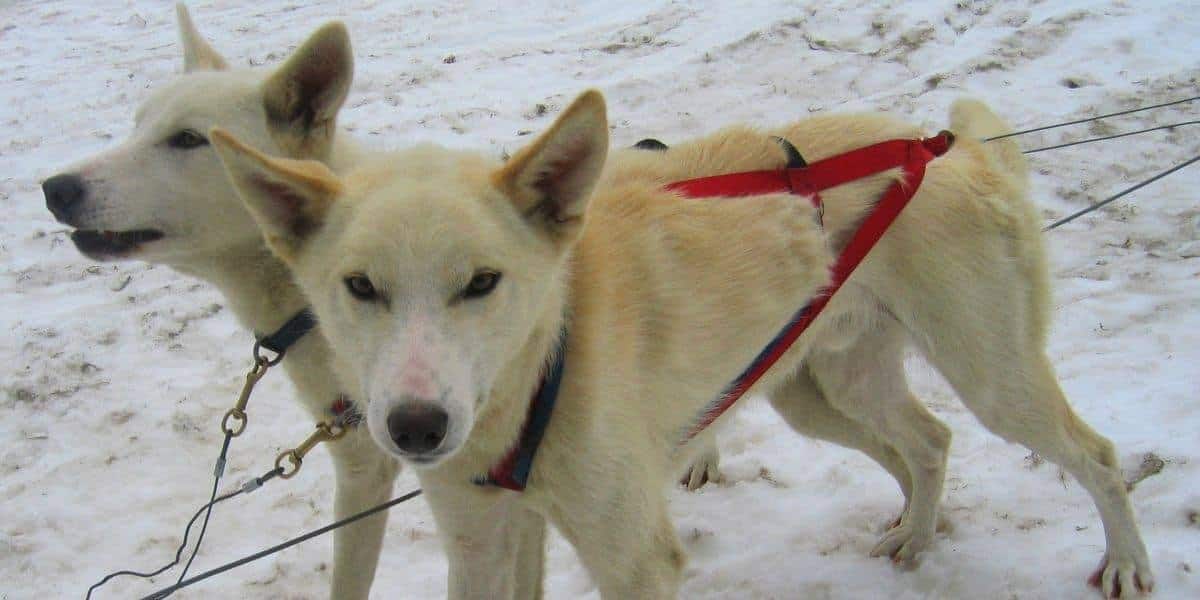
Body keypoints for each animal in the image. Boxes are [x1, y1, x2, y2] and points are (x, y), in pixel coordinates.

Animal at [213, 88, 1152, 600]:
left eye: (481, 282)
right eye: (360, 287)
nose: (414, 427)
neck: (541, 366)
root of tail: (953, 154)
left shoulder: (635, 557)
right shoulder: (483, 539)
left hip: (993, 378)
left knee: (1099, 456)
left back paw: (1128, 564)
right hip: (830, 389)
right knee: (929, 441)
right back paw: (918, 539)